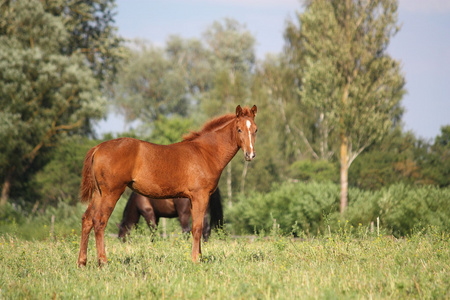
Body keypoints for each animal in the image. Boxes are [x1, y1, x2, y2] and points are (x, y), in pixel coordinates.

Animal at [78, 104, 256, 266]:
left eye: (255, 130)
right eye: (239, 129)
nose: (250, 155)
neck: (205, 152)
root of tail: (98, 148)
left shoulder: (193, 200)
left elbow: (197, 227)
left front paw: (199, 257)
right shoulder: (200, 196)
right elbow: (197, 228)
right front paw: (195, 260)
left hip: (99, 193)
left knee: (87, 220)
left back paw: (82, 262)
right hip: (111, 193)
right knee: (99, 221)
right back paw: (103, 262)